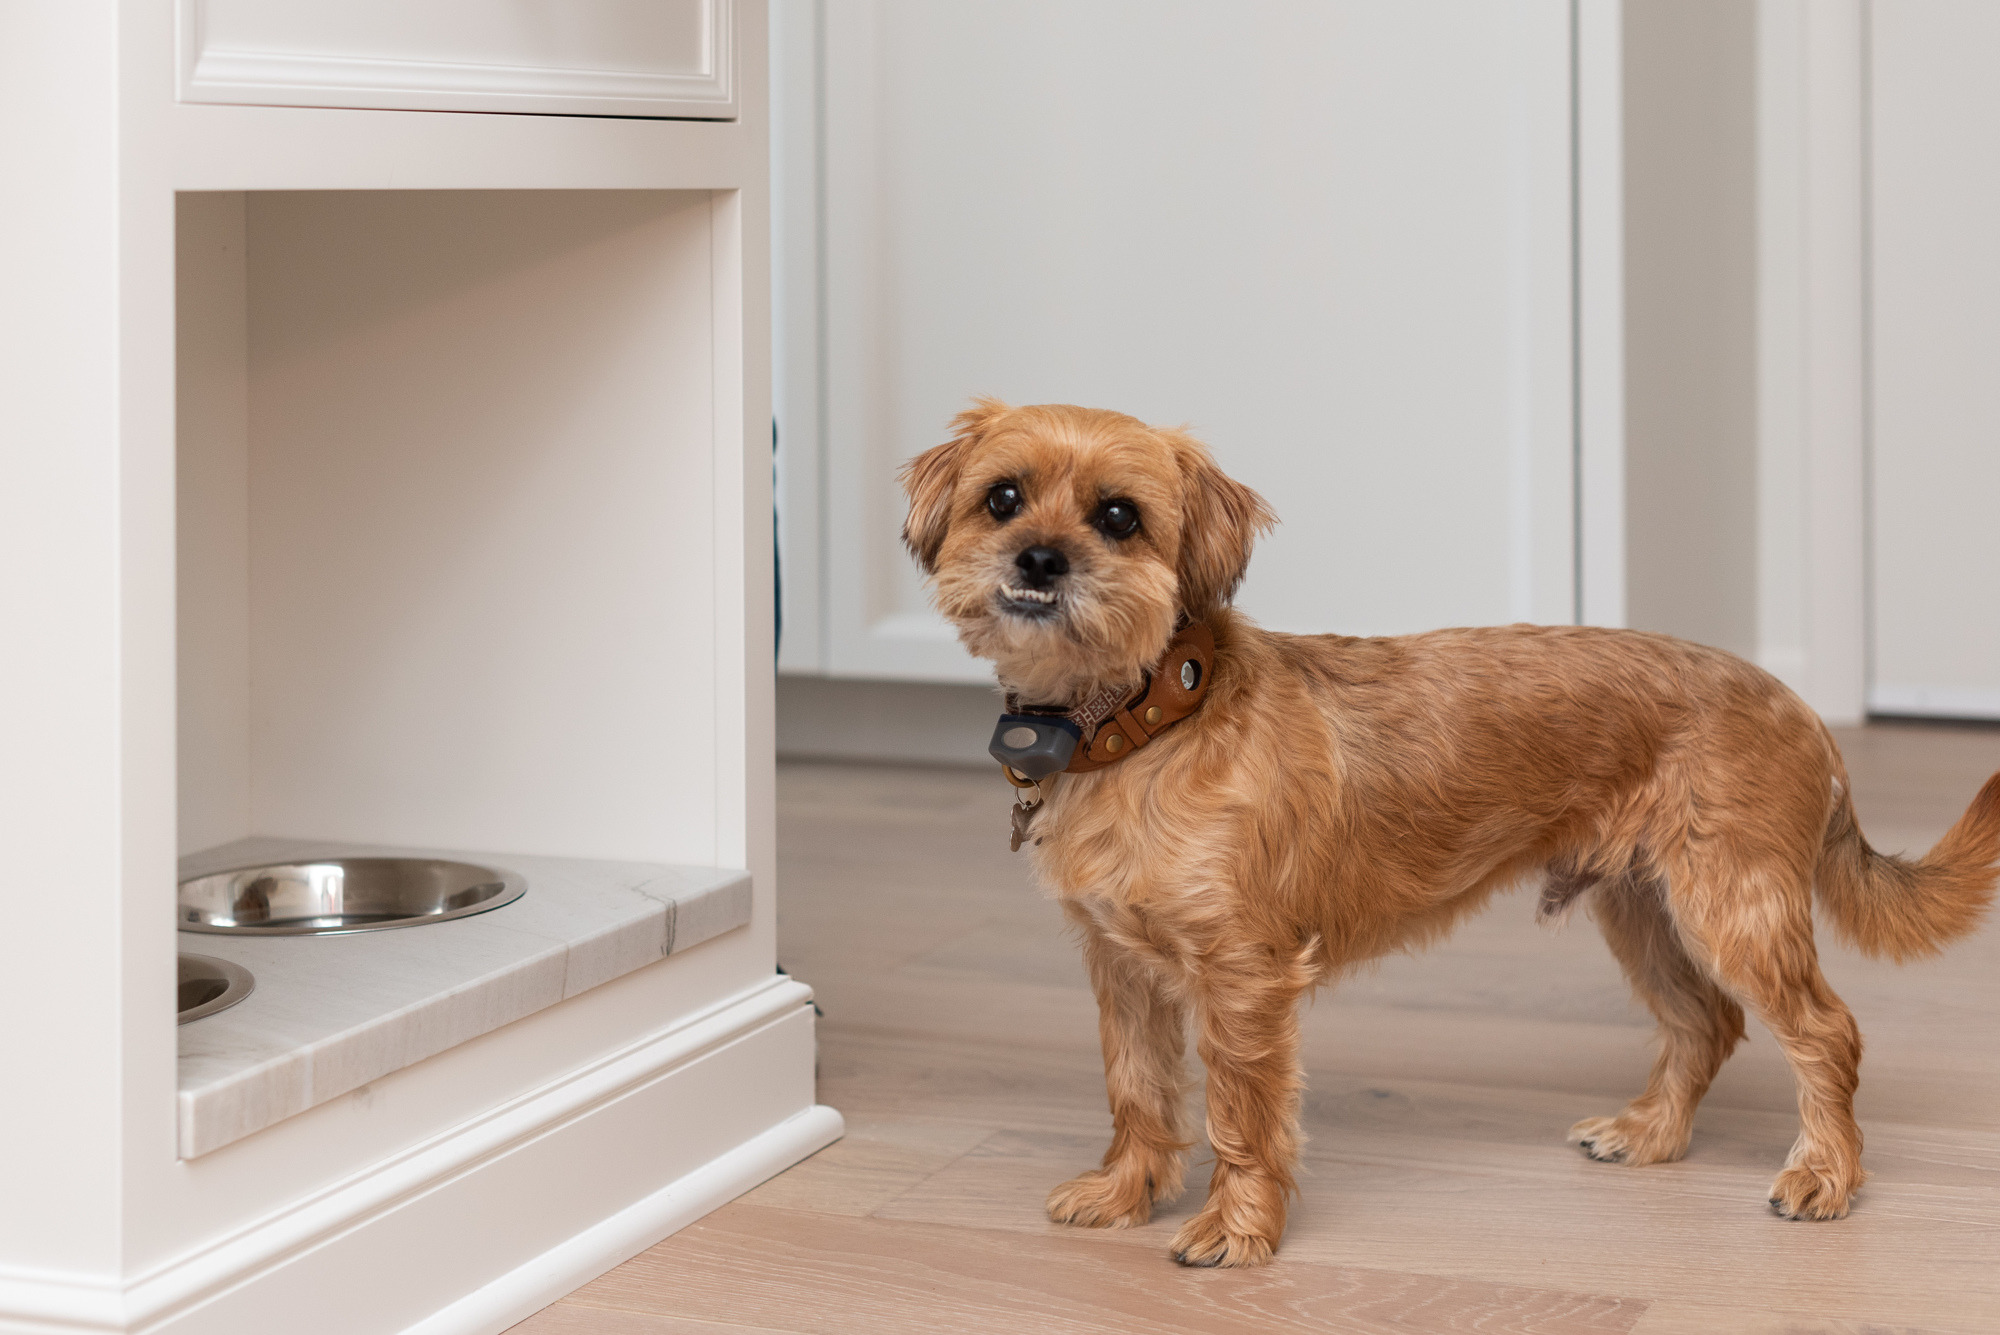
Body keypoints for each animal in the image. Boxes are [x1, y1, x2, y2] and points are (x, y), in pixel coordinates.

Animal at [900, 399, 2000, 1271]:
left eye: (1118, 517)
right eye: (1002, 499)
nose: (1039, 559)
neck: (1143, 720)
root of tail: (1798, 708)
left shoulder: (1243, 979)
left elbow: (1242, 1116)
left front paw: (1235, 1230)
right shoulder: (1120, 970)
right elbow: (1135, 1090)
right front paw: (1124, 1193)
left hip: (1734, 908)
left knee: (1824, 1032)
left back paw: (1825, 1175)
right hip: (1643, 912)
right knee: (1705, 1024)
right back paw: (1648, 1133)